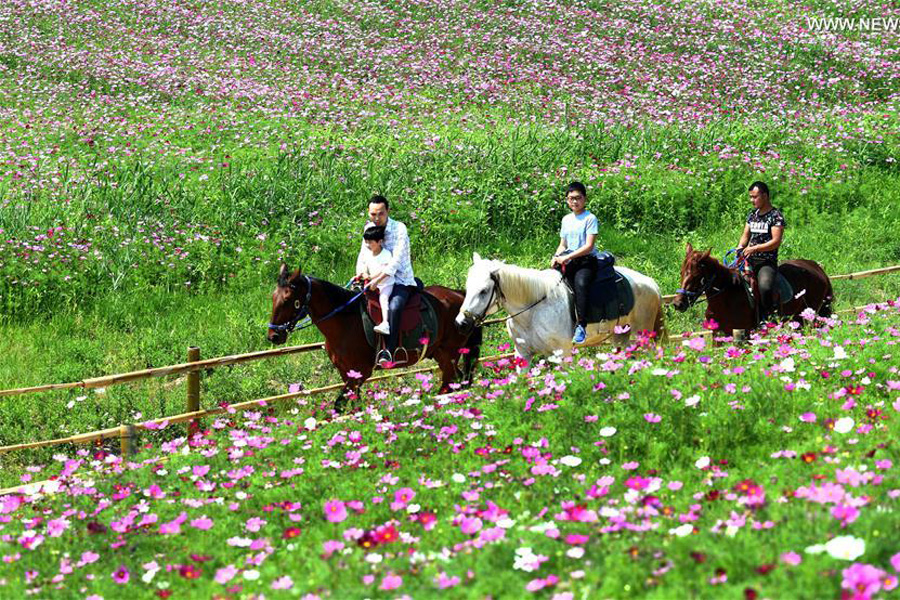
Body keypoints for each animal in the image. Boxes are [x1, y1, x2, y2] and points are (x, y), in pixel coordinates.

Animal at [268, 264, 482, 410]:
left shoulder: (361, 372)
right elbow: (354, 405)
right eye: (273, 297)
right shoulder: (347, 373)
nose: (274, 335)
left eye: (288, 299)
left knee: (449, 383)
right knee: (457, 381)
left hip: (449, 353)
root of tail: (459, 294)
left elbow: (339, 405)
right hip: (440, 353)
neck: (345, 321)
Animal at [454, 252, 664, 364]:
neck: (533, 311)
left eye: (483, 291)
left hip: (641, 335)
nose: (461, 323)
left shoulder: (562, 353)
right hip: (621, 337)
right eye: (467, 287)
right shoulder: (523, 354)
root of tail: (651, 283)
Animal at [672, 245, 832, 338]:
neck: (727, 297)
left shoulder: (745, 332)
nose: (678, 303)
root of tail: (817, 268)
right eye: (681, 273)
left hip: (810, 316)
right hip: (798, 318)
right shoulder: (719, 334)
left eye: (696, 276)